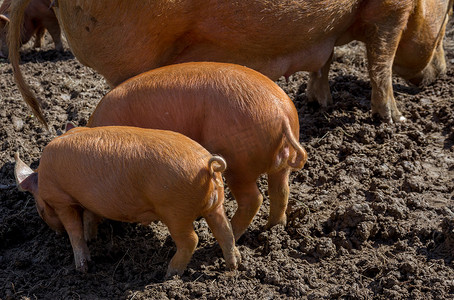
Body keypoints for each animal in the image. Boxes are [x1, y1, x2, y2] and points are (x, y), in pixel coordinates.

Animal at [7, 0, 454, 126]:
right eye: (449, 14)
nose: (441, 75)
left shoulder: (326, 32)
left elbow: (323, 62)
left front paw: (319, 104)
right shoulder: (390, 12)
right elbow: (381, 61)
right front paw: (395, 121)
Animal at [13, 126, 241, 276]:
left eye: (40, 210)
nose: (55, 234)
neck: (42, 178)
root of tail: (207, 164)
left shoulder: (61, 200)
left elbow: (74, 231)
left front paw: (82, 268)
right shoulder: (91, 200)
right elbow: (90, 216)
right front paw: (91, 238)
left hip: (176, 211)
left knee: (191, 240)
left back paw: (169, 273)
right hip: (215, 205)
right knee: (225, 230)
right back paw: (234, 265)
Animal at [87, 61, 308, 241]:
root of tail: (282, 115)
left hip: (239, 162)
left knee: (254, 199)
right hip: (279, 162)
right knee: (280, 190)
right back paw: (273, 229)